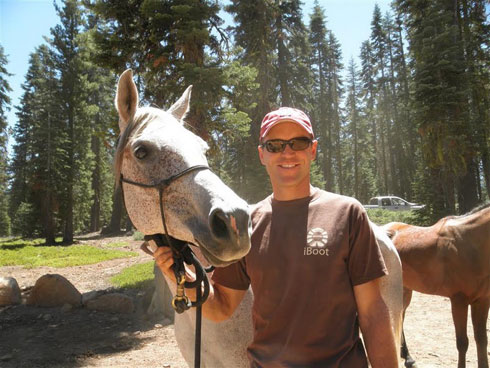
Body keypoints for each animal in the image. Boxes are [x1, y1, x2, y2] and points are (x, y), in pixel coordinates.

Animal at [384, 204, 488, 368]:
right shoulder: (459, 300)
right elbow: (462, 342)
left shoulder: (482, 301)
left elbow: (481, 340)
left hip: (404, 289)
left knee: (400, 316)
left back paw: (407, 357)